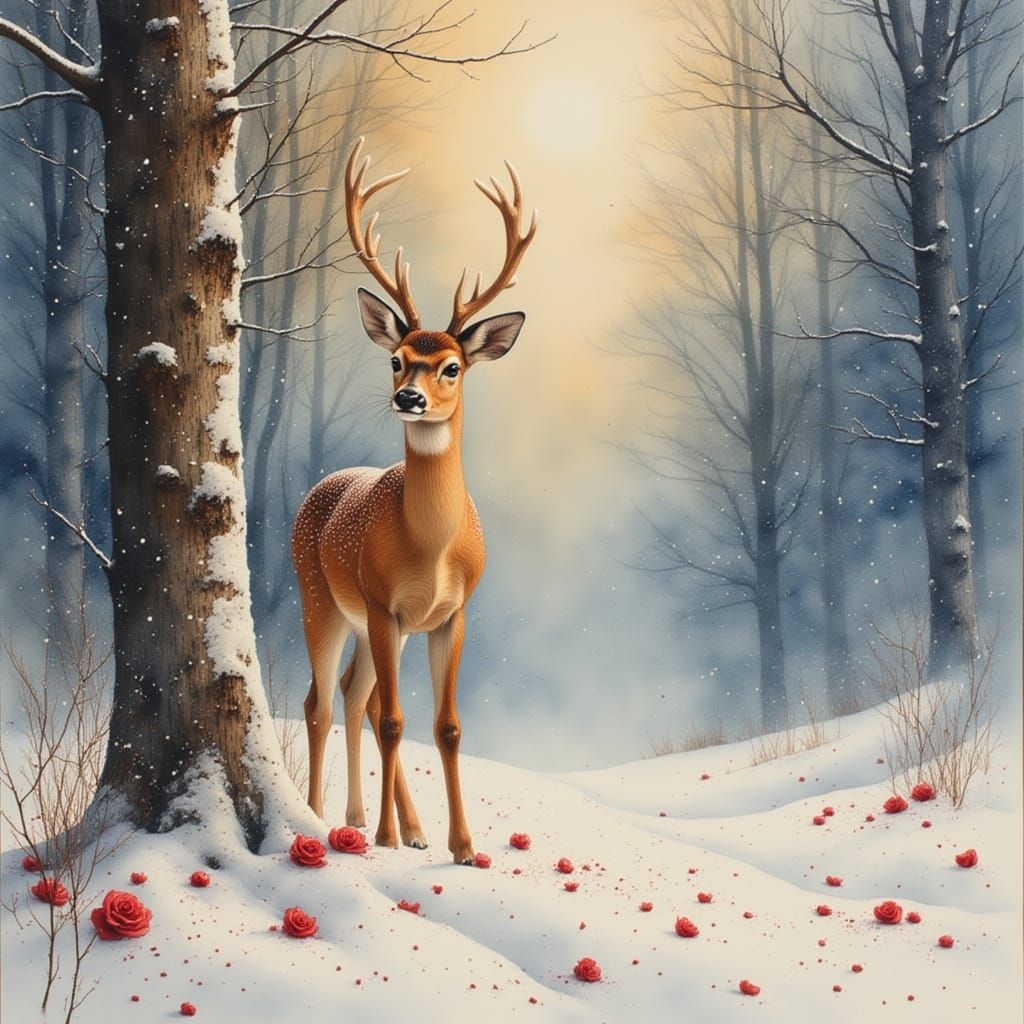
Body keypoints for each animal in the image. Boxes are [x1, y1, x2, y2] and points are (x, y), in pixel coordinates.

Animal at [291, 138, 537, 864]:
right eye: (397, 358)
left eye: (452, 365)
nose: (409, 397)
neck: (430, 550)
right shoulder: (382, 602)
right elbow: (398, 720)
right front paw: (384, 836)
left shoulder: (452, 613)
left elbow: (446, 725)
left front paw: (461, 844)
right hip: (320, 598)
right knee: (324, 701)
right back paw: (328, 818)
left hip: (371, 625)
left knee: (356, 697)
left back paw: (397, 824)